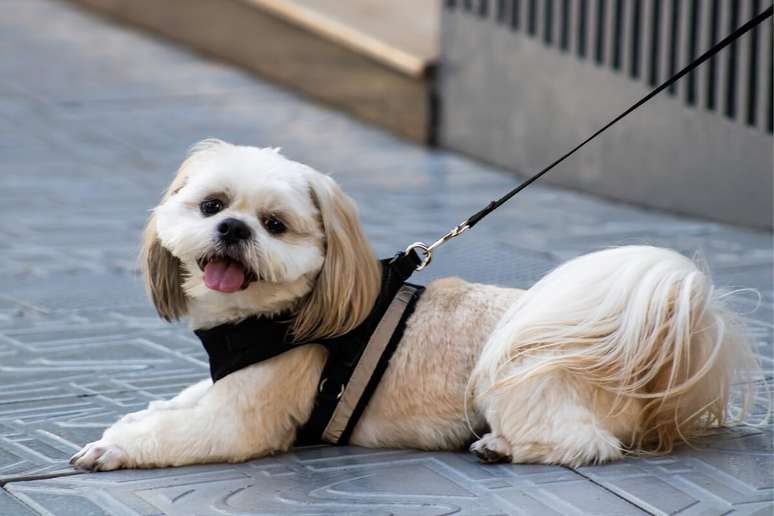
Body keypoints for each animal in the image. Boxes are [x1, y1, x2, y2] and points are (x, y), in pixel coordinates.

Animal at [71, 141, 756, 472]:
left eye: (274, 224)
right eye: (212, 205)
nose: (234, 229)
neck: (277, 317)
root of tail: (646, 362)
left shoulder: (245, 418)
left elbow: (181, 432)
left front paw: (116, 447)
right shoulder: (226, 384)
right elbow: (180, 403)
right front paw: (141, 415)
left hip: (518, 380)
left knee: (585, 444)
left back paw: (504, 447)